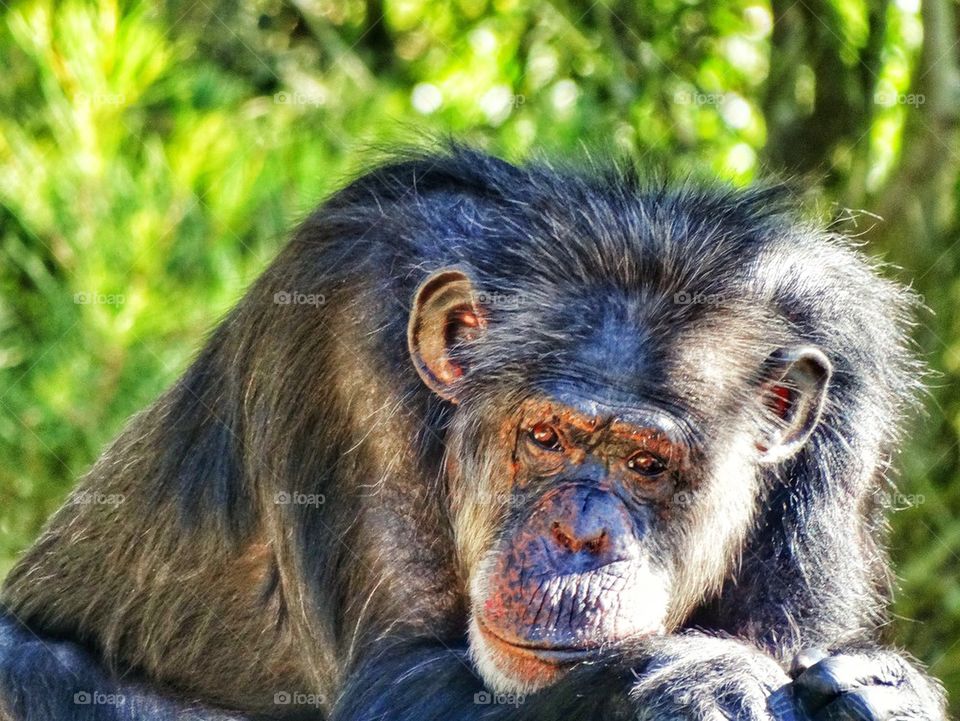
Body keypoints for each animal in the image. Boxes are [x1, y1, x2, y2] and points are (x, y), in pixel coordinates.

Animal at [0, 146, 947, 720]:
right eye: (546, 437)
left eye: (648, 463)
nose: (579, 533)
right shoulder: (346, 329)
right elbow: (398, 680)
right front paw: (706, 683)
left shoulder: (849, 387)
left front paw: (882, 690)